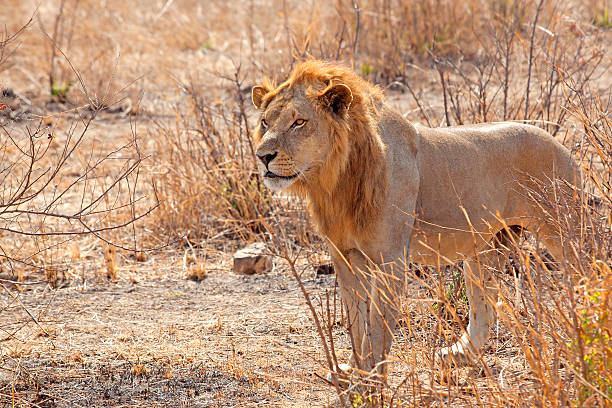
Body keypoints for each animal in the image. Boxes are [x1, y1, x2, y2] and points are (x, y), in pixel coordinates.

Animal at [251, 59, 580, 380]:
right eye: (265, 122)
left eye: (299, 122)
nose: (262, 156)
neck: (335, 180)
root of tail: (562, 146)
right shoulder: (345, 256)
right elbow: (356, 322)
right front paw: (355, 370)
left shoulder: (391, 260)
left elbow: (377, 327)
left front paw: (371, 380)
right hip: (486, 248)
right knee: (484, 307)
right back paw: (457, 355)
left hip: (563, 233)